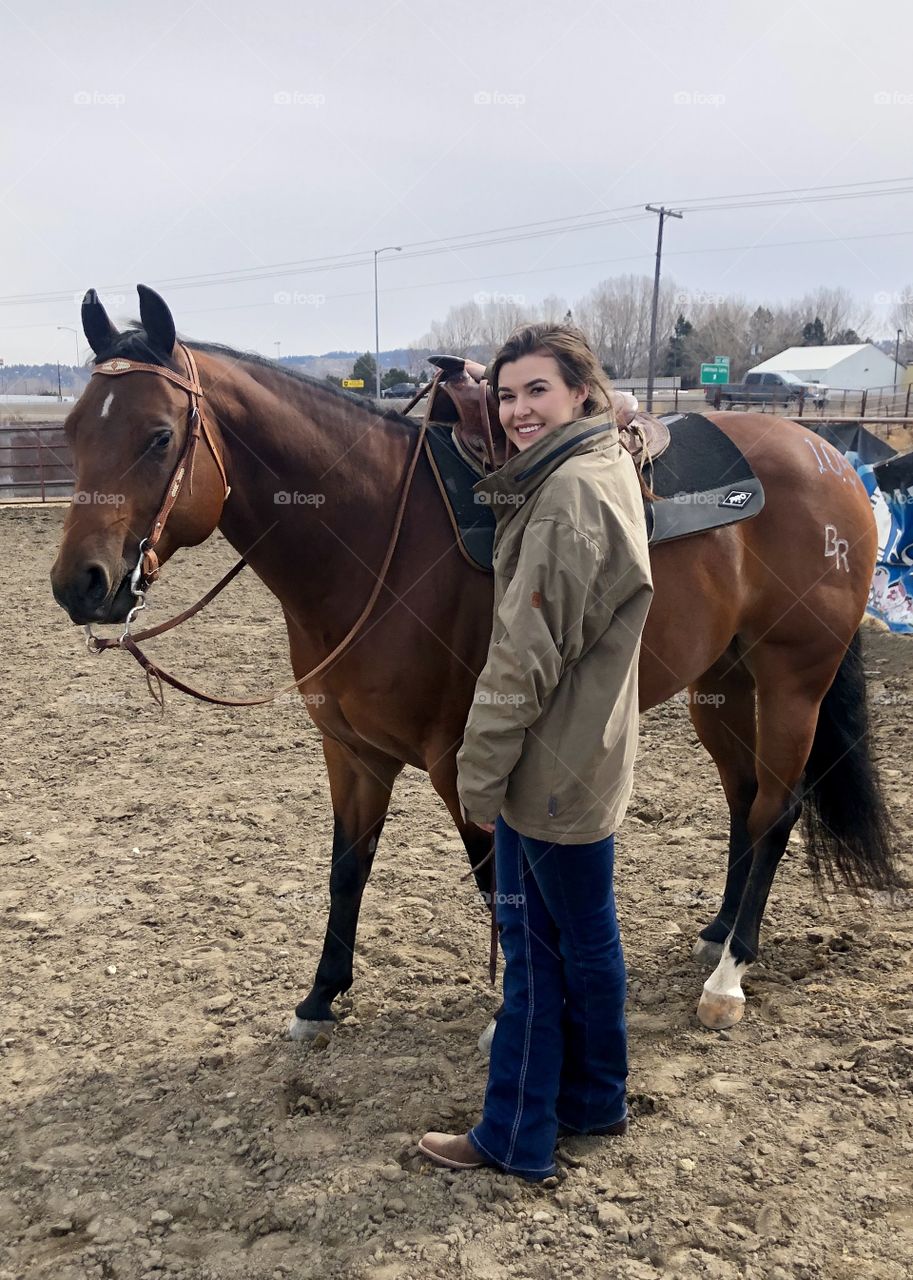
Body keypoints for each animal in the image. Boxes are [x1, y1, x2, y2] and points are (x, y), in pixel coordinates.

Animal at [49, 285, 896, 1034]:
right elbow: (347, 867)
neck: (375, 544)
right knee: (744, 799)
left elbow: (498, 887)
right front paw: (320, 998)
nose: (79, 584)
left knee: (777, 808)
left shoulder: (463, 762)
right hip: (718, 683)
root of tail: (826, 455)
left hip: (792, 683)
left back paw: (728, 976)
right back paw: (717, 932)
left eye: (159, 436)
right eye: (73, 432)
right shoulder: (351, 753)